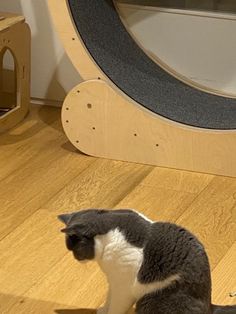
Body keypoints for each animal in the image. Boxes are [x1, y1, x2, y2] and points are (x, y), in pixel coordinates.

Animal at [57, 209, 236, 314]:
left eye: (74, 250)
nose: (76, 258)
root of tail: (209, 305)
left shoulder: (123, 285)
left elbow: (117, 305)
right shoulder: (114, 280)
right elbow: (109, 298)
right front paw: (102, 310)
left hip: (152, 299)